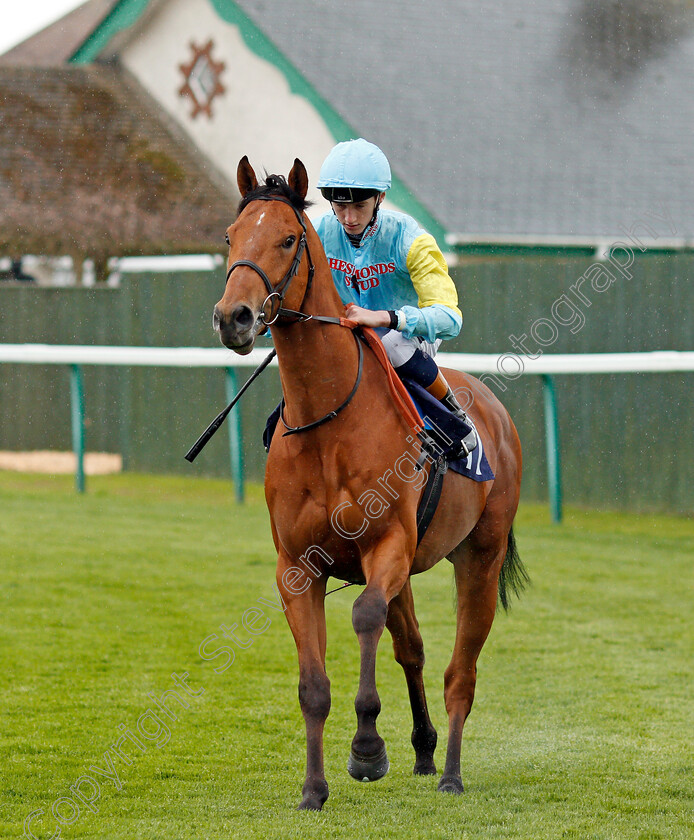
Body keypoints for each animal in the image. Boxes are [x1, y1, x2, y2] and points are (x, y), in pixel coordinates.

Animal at [215, 156, 524, 808]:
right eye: (230, 237)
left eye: (288, 239)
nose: (234, 317)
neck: (328, 422)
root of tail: (492, 408)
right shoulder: (296, 566)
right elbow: (314, 684)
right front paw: (313, 789)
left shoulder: (387, 545)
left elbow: (362, 616)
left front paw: (366, 749)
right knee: (412, 648)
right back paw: (426, 749)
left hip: (478, 559)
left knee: (460, 672)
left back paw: (451, 771)